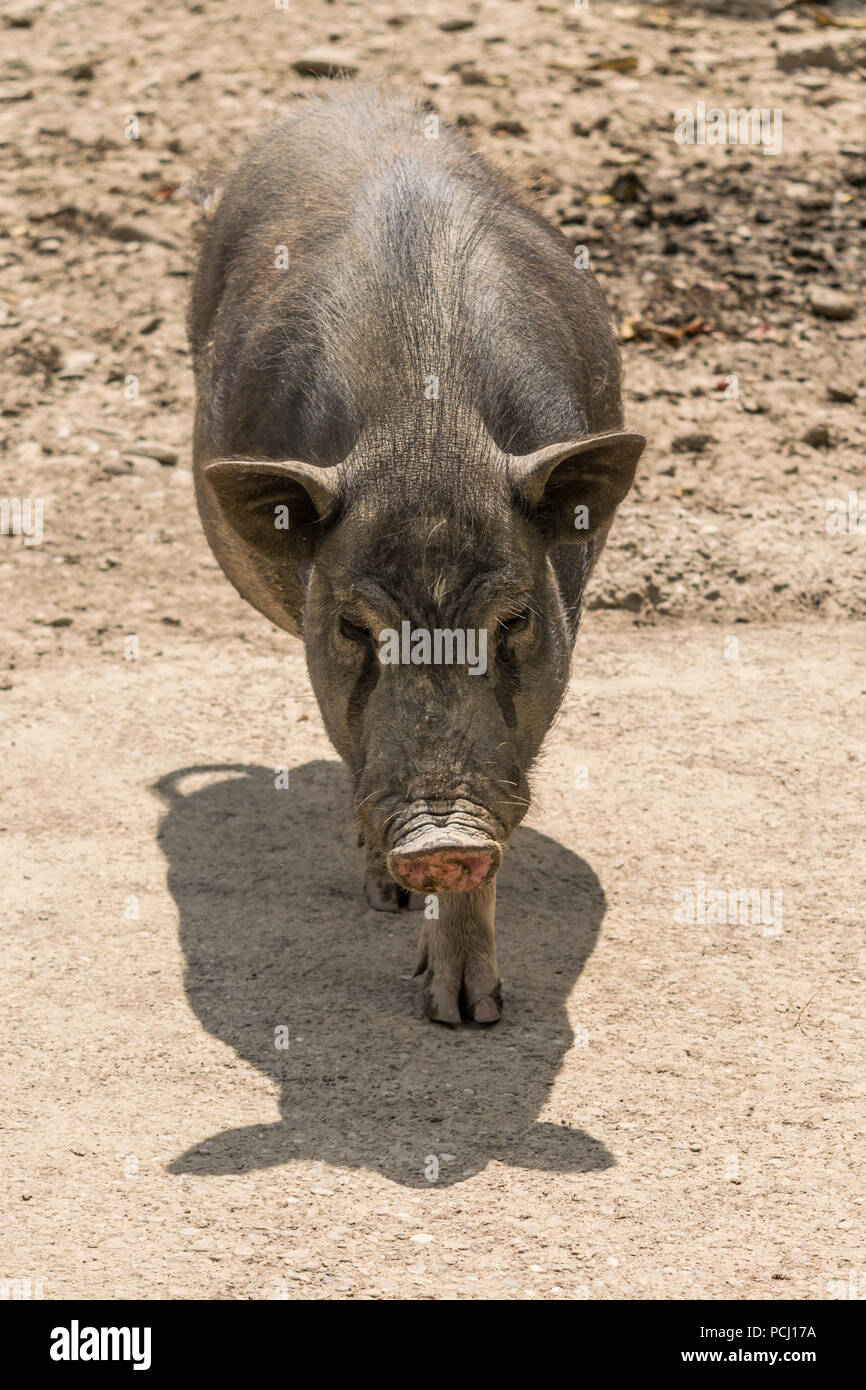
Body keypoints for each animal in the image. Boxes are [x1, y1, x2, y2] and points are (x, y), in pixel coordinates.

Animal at [188, 85, 645, 1025]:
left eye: (514, 617)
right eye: (354, 627)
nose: (441, 835)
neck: (428, 443)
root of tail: (342, 92)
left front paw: (471, 1015)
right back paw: (383, 893)